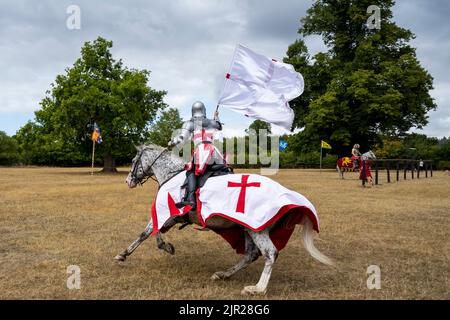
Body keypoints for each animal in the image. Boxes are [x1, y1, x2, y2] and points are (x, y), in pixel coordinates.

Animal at [115, 145, 334, 296]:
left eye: (134, 160)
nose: (128, 181)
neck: (172, 175)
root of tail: (286, 195)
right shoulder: (173, 218)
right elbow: (155, 233)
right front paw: (166, 247)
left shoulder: (166, 214)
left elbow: (147, 233)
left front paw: (123, 254)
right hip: (247, 229)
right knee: (250, 255)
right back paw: (223, 274)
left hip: (257, 229)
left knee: (270, 253)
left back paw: (257, 288)